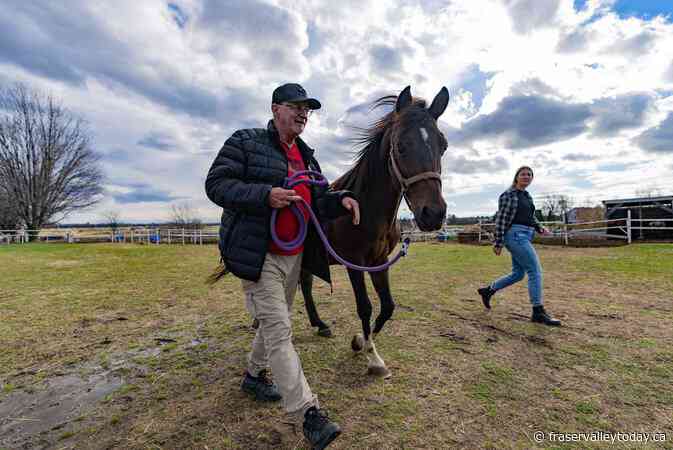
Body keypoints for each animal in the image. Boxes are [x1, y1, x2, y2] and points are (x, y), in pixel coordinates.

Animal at [301, 86, 449, 378]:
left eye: (443, 145)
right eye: (400, 145)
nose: (433, 214)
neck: (363, 207)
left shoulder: (379, 261)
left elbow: (388, 306)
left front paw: (361, 342)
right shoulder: (354, 263)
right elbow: (365, 306)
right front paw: (373, 358)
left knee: (306, 285)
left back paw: (320, 324)